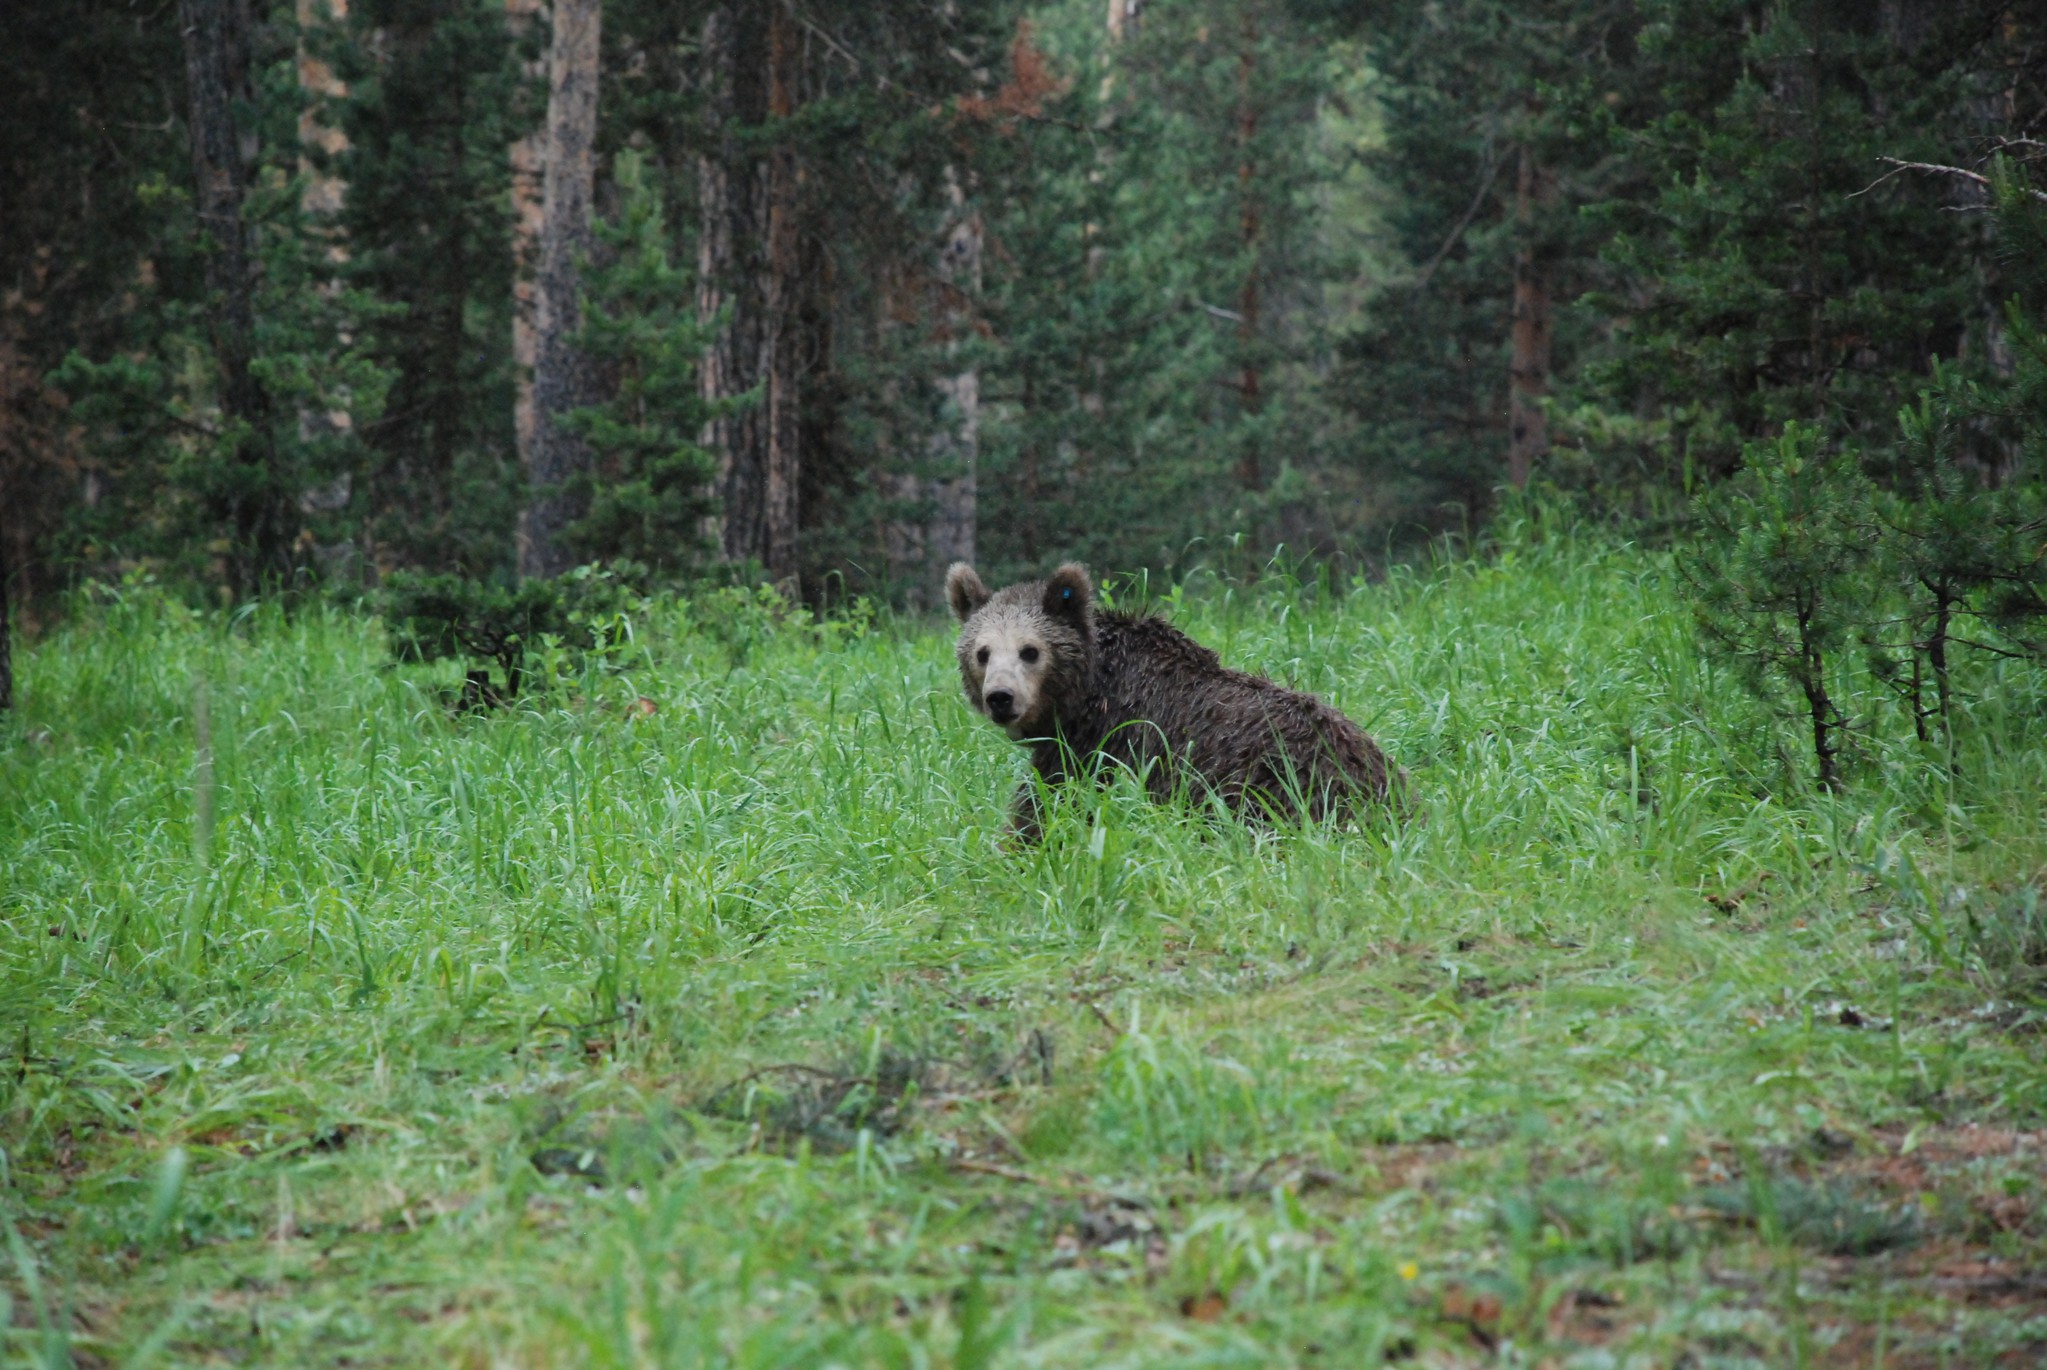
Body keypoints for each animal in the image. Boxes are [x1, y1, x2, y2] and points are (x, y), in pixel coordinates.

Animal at [945, 561, 1400, 839]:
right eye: (983, 652)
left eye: (1030, 651)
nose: (1000, 698)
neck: (1086, 692)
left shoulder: (1104, 742)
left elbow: (1050, 804)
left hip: (1278, 782)